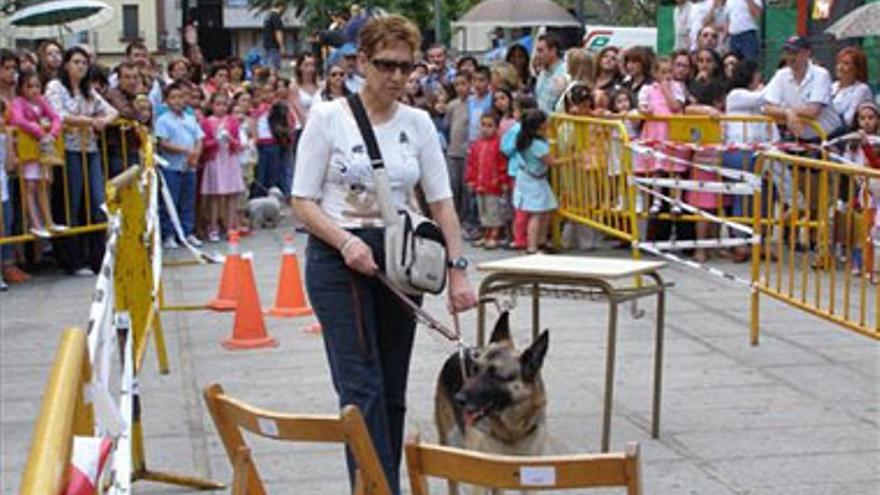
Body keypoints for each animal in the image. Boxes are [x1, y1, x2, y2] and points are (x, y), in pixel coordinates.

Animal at [434, 314, 552, 492]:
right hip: (449, 446)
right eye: (475, 369)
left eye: (495, 376)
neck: (511, 432)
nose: (458, 399)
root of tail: (461, 350)